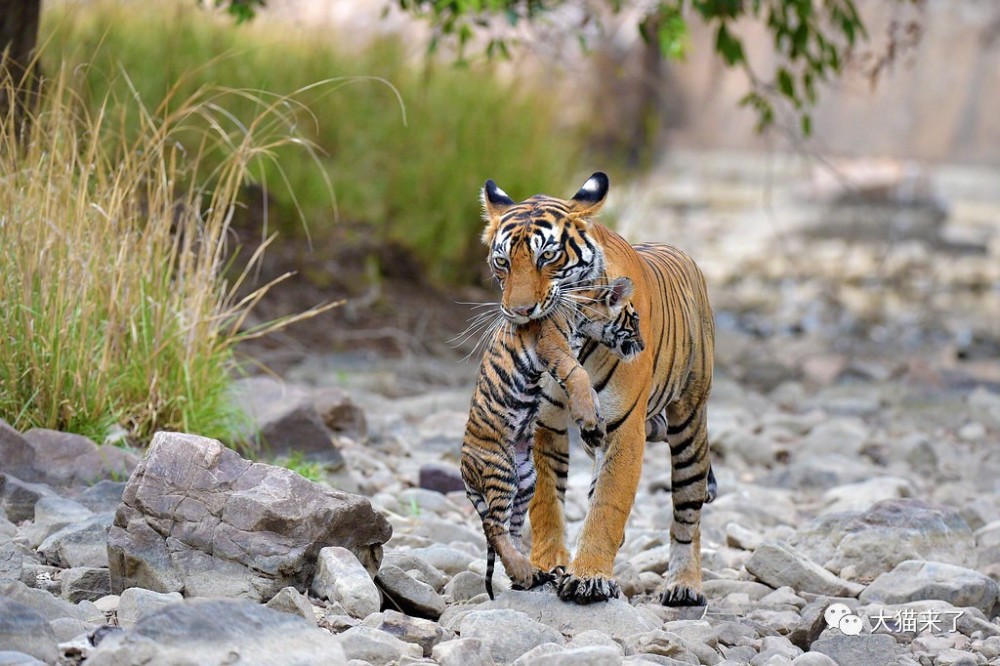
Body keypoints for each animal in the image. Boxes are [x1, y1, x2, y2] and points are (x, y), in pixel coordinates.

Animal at [480, 170, 716, 600]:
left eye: (547, 256)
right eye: (502, 261)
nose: (519, 312)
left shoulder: (624, 427)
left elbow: (608, 504)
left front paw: (588, 577)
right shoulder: (546, 424)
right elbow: (546, 501)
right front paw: (548, 565)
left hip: (690, 424)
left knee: (687, 513)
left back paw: (684, 585)